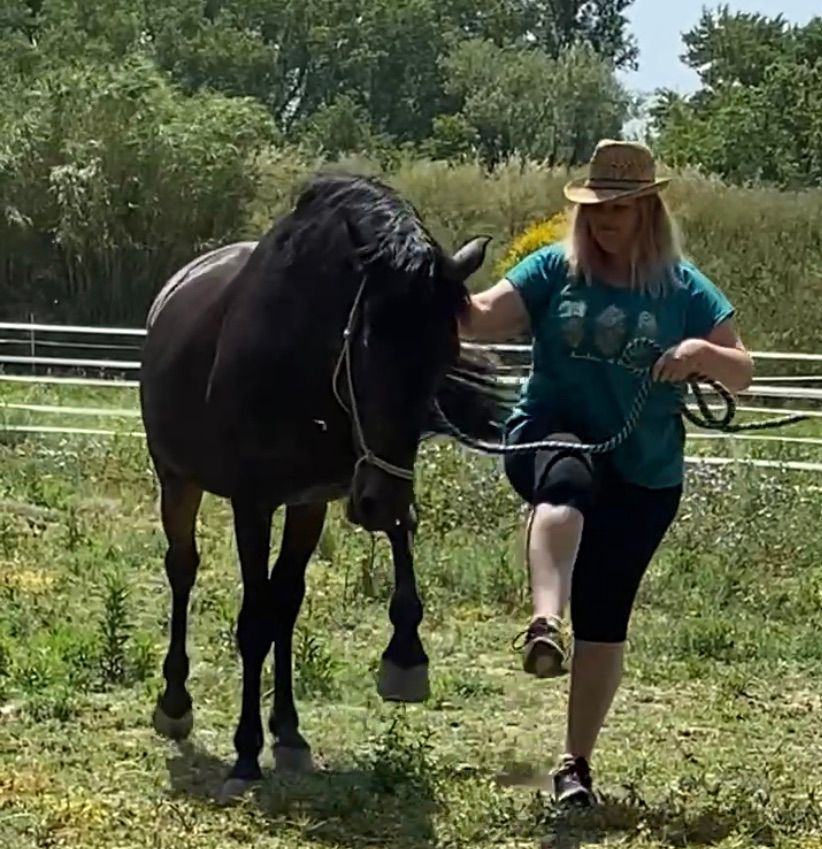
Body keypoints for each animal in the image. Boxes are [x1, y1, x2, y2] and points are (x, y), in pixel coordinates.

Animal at [138, 172, 508, 795]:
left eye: (444, 354)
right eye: (367, 346)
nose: (377, 505)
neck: (301, 366)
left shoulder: (324, 495)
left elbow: (289, 603)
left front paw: (402, 659)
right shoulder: (254, 502)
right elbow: (253, 620)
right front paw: (245, 752)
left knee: (282, 601)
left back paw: (284, 730)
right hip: (177, 479)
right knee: (183, 569)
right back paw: (175, 703)